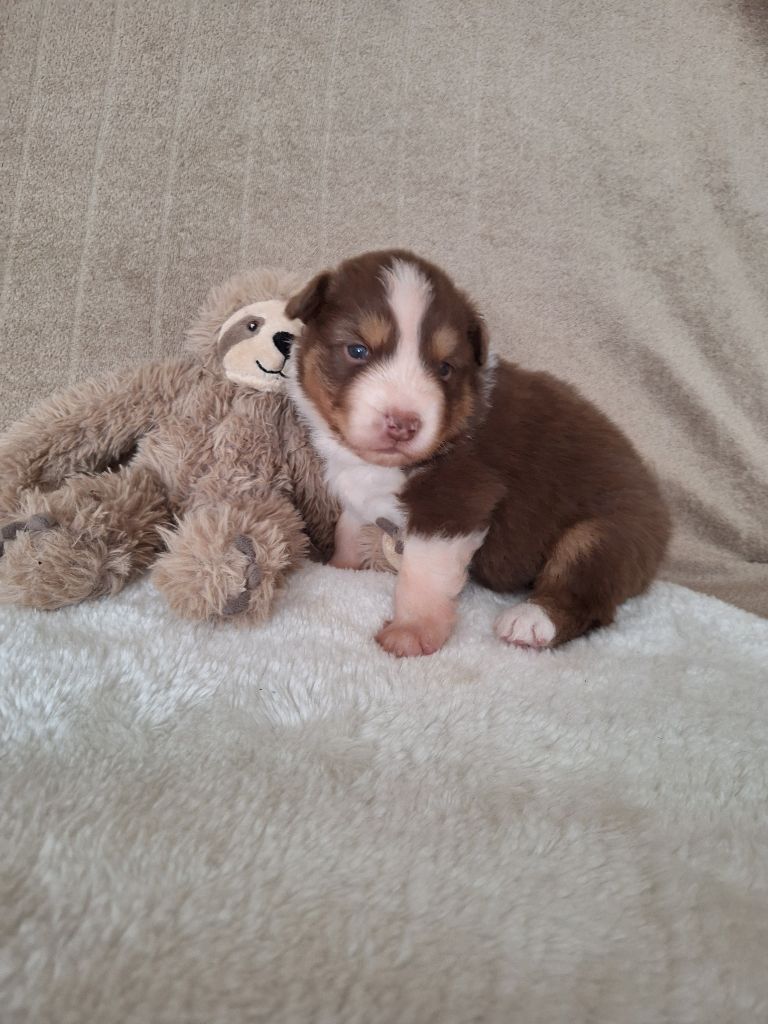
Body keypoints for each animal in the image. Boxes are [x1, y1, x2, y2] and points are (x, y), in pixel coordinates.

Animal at [286, 251, 671, 659]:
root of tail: (661, 513)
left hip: (605, 536)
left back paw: (531, 620)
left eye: (444, 368)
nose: (404, 424)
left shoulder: (455, 501)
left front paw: (411, 631)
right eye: (357, 350)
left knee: (586, 596)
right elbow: (348, 529)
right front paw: (341, 568)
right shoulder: (360, 491)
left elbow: (422, 575)